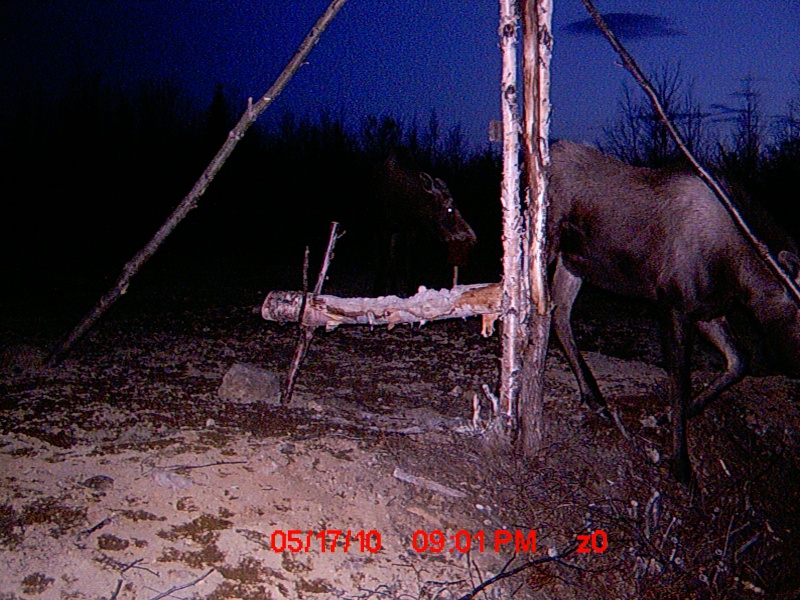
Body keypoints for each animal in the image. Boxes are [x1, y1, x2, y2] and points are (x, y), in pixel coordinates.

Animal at [548, 139, 800, 482]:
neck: (740, 279)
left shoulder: (707, 310)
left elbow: (738, 361)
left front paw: (664, 418)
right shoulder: (673, 303)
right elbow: (680, 380)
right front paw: (681, 464)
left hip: (573, 260)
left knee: (558, 311)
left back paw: (595, 397)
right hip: (546, 240)